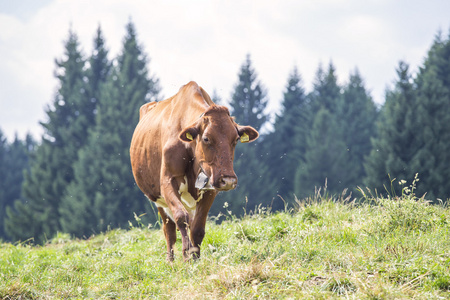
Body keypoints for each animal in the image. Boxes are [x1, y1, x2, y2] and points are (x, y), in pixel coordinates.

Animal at [128, 81, 258, 260]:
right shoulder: (167, 182)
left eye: (236, 139)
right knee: (169, 230)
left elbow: (197, 228)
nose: (228, 180)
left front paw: (194, 258)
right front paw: (187, 256)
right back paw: (170, 260)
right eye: (206, 138)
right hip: (158, 199)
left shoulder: (210, 188)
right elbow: (180, 218)